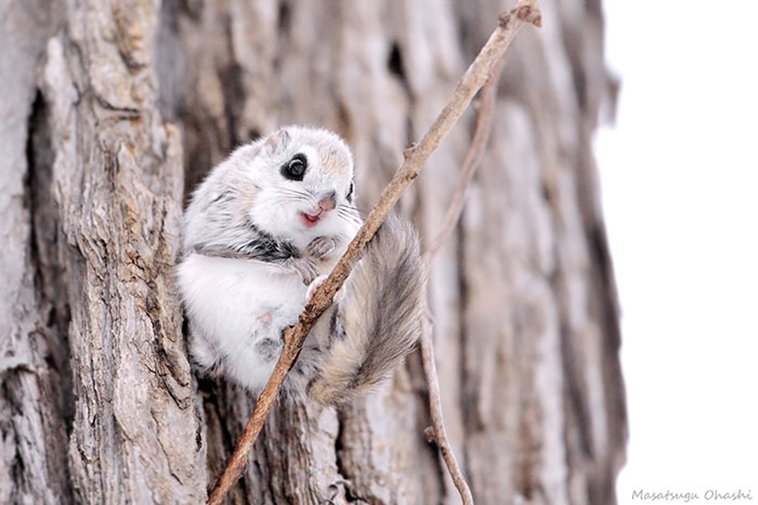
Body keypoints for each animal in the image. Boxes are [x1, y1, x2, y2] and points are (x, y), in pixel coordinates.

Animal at [178, 126, 428, 406]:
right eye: (295, 167)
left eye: (350, 189)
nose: (328, 203)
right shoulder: (221, 219)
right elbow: (250, 246)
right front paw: (297, 263)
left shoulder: (352, 230)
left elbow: (343, 242)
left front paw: (325, 245)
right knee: (210, 359)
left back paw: (322, 292)